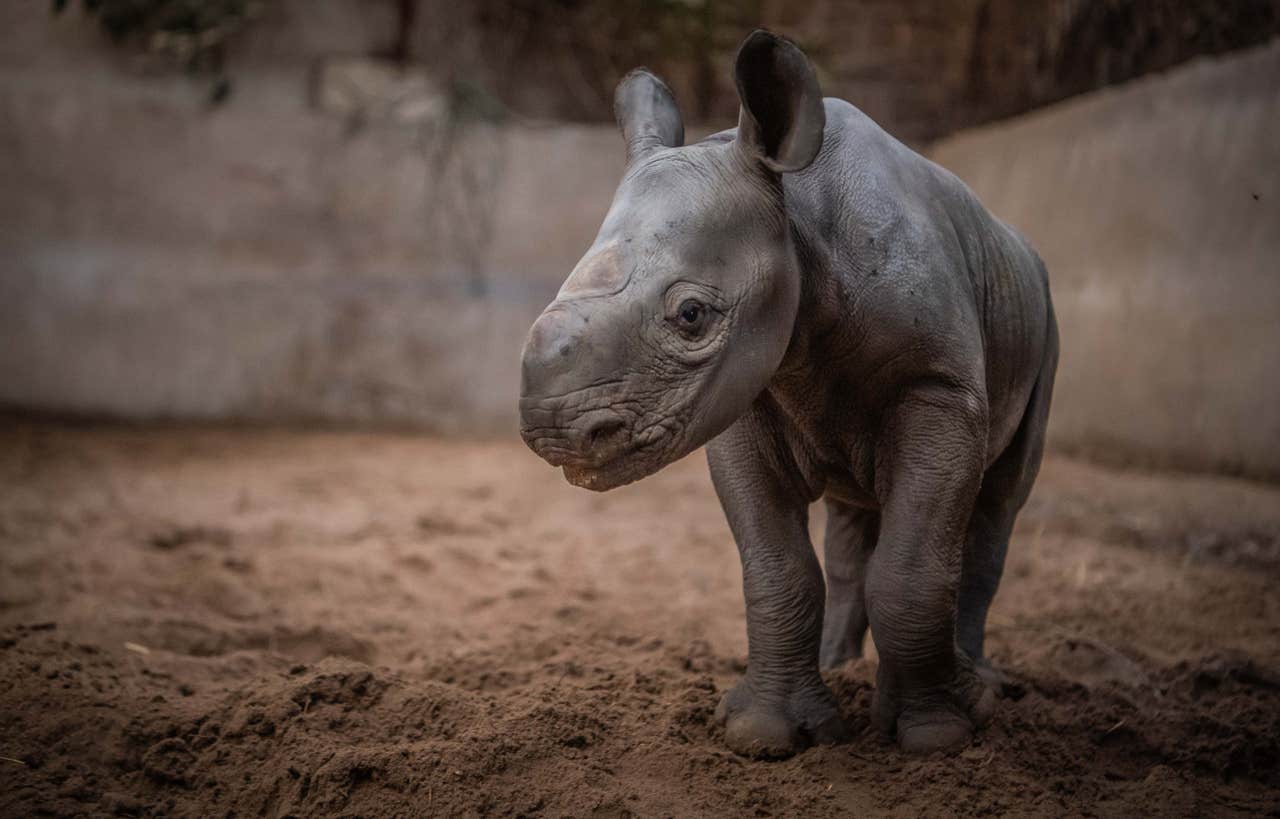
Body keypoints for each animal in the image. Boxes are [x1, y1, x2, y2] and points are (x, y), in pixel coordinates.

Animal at [514, 28, 1054, 757]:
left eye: (691, 315)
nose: (554, 430)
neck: (798, 219)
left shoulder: (939, 388)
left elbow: (914, 566)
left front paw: (937, 734)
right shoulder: (741, 396)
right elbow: (777, 567)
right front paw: (768, 732)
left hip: (1041, 313)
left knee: (998, 502)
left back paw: (981, 685)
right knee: (857, 513)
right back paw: (841, 665)